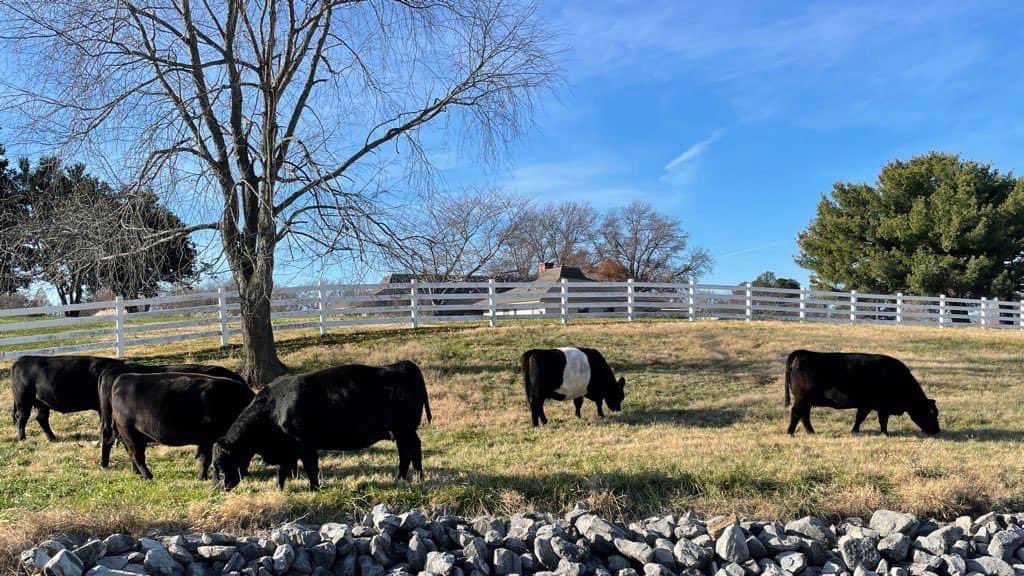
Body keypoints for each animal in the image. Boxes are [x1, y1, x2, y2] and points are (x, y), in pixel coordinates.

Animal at [216, 358, 432, 487]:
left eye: (221, 463)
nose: (222, 487)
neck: (274, 408)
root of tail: (402, 365)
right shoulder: (287, 448)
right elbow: (283, 470)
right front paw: (280, 488)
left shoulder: (305, 445)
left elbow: (311, 467)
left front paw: (314, 488)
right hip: (401, 431)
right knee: (407, 451)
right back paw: (402, 478)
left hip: (405, 429)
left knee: (413, 449)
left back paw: (416, 477)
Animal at [782, 348, 942, 432]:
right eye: (930, 413)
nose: (937, 431)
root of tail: (803, 352)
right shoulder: (880, 406)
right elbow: (881, 420)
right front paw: (885, 433)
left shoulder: (867, 405)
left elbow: (860, 418)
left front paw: (855, 431)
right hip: (802, 399)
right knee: (797, 413)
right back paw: (791, 432)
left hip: (806, 401)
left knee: (804, 416)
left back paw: (811, 432)